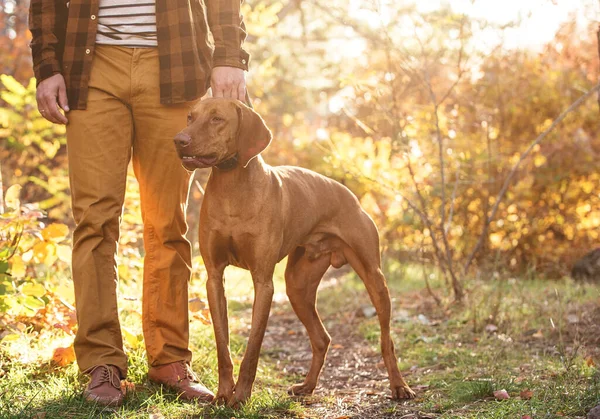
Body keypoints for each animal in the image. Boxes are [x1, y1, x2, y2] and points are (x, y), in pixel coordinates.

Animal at [176, 97, 414, 406]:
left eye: (217, 119)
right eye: (190, 117)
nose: (179, 140)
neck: (233, 189)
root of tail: (351, 196)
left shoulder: (263, 282)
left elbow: (252, 349)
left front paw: (240, 397)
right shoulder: (215, 278)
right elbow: (223, 347)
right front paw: (223, 394)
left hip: (375, 279)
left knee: (387, 340)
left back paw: (399, 386)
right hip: (297, 287)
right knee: (322, 339)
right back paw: (307, 386)